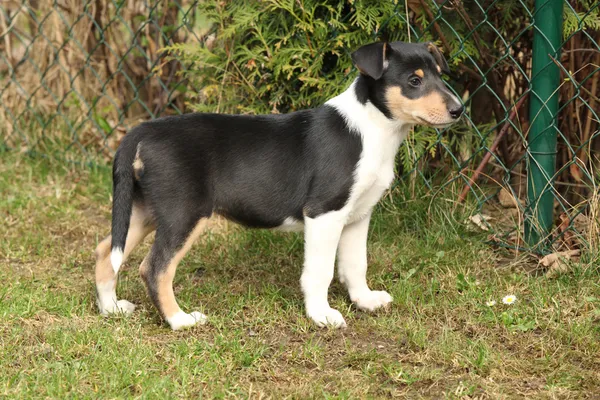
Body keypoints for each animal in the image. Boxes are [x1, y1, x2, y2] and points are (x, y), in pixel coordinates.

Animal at [95, 40, 464, 330]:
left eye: (440, 76)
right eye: (414, 81)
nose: (459, 110)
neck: (374, 128)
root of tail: (141, 132)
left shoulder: (358, 215)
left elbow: (355, 265)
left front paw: (365, 301)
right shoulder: (324, 212)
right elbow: (320, 271)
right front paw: (322, 315)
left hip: (145, 210)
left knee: (105, 251)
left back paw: (112, 308)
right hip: (183, 213)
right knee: (154, 268)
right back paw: (180, 320)